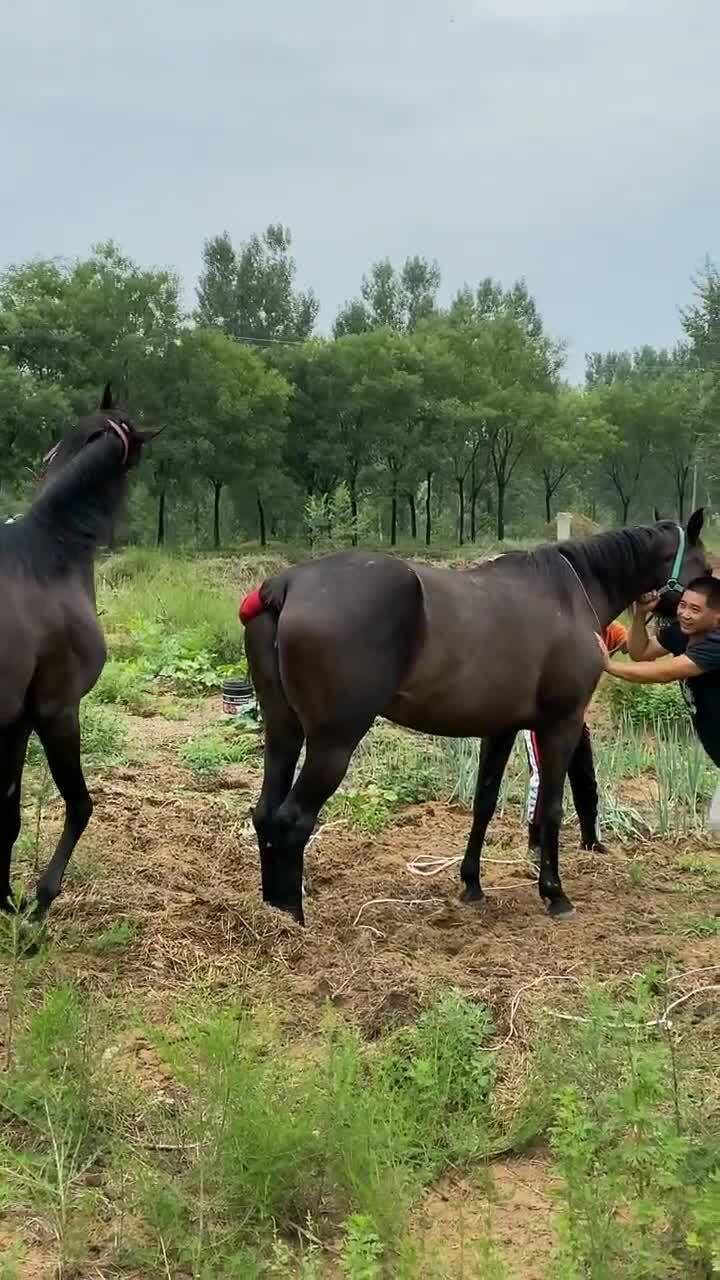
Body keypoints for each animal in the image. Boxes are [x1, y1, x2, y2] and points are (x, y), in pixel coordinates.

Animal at [0, 381, 156, 921]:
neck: (48, 554)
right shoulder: (58, 710)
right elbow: (79, 805)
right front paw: (39, 903)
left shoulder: (18, 720)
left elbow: (8, 815)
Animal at [242, 514, 707, 926]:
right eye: (706, 569)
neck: (569, 594)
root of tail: (286, 584)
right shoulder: (562, 724)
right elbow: (552, 807)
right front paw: (554, 893)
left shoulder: (500, 728)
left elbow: (484, 801)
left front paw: (472, 884)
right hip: (333, 742)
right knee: (292, 821)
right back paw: (293, 922)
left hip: (284, 732)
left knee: (266, 814)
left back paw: (270, 912)